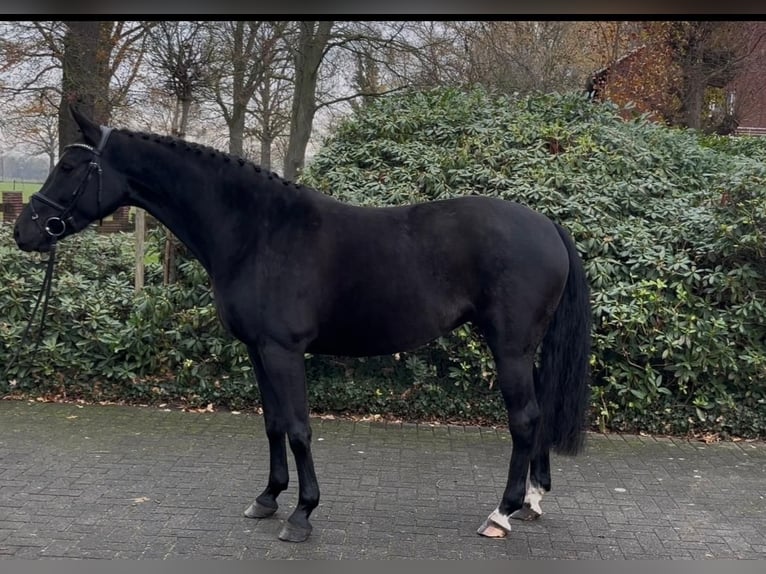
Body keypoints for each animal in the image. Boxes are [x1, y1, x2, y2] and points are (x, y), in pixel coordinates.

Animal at [13, 107, 591, 543]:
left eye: (71, 167)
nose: (25, 231)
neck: (258, 232)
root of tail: (547, 224)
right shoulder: (257, 350)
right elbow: (272, 424)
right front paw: (268, 498)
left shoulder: (283, 350)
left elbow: (298, 428)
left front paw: (302, 514)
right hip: (526, 349)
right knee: (538, 416)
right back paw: (532, 500)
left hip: (509, 346)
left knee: (524, 419)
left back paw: (501, 513)